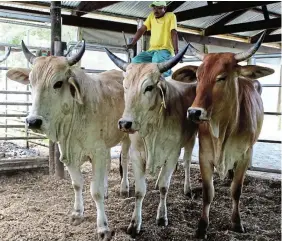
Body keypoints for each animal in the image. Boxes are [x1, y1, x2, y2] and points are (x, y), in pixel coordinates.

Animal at [6, 40, 130, 240]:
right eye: (31, 83)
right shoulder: (69, 154)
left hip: (128, 136)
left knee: (125, 160)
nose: (33, 121)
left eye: (57, 83)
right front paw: (77, 213)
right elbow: (77, 184)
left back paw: (124, 187)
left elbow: (94, 191)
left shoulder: (97, 152)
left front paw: (103, 227)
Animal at [104, 45, 197, 237]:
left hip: (191, 139)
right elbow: (140, 191)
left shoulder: (172, 154)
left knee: (186, 162)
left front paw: (162, 217)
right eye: (125, 87)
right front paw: (134, 224)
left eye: (148, 87)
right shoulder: (136, 155)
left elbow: (164, 187)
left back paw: (188, 188)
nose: (125, 123)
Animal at [185, 31, 276, 238]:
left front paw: (236, 222)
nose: (194, 112)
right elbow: (208, 192)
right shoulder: (204, 155)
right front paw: (202, 226)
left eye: (222, 77)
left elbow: (236, 191)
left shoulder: (244, 155)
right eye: (198, 76)